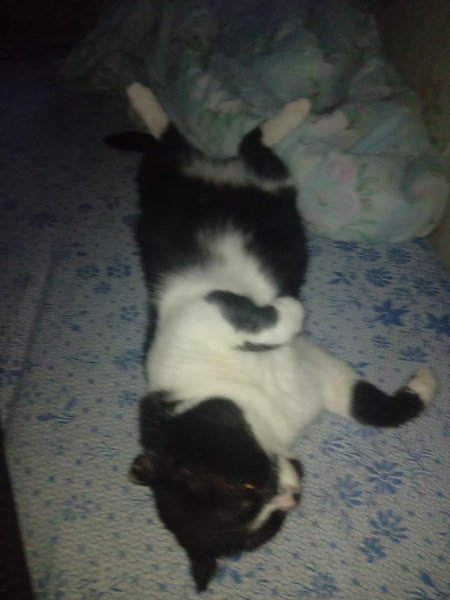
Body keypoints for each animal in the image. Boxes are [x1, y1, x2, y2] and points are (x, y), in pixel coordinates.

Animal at [105, 83, 437, 593]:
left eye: (244, 485)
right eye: (264, 521)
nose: (293, 494)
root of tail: (215, 169)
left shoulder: (193, 319)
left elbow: (247, 314)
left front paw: (290, 308)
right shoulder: (319, 374)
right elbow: (365, 406)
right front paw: (425, 386)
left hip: (170, 179)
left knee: (199, 141)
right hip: (252, 184)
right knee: (252, 150)